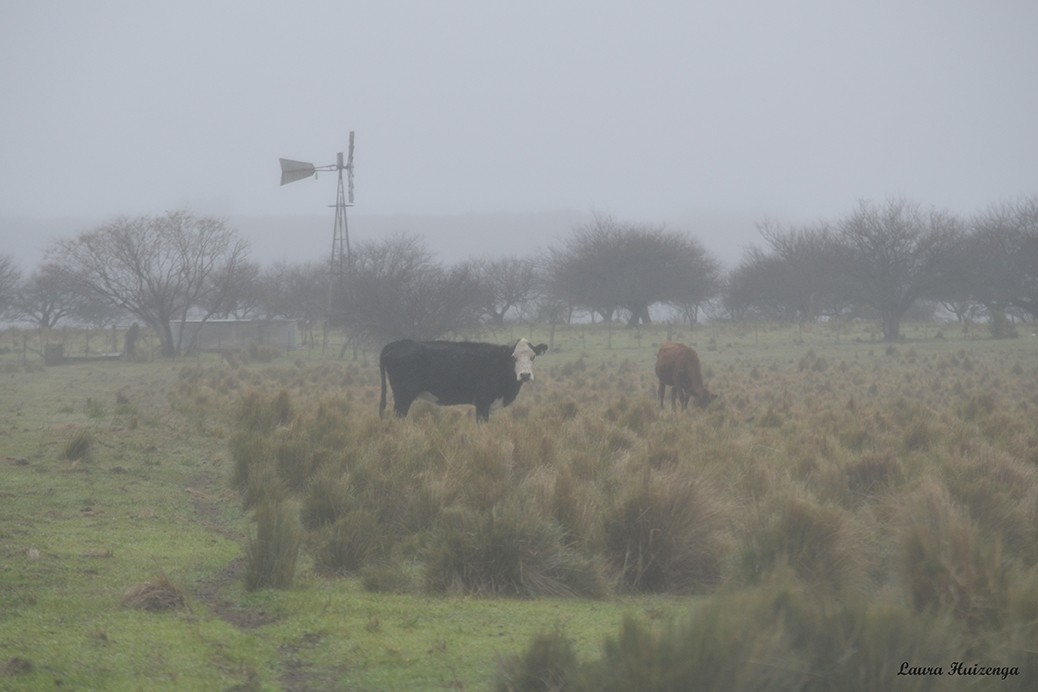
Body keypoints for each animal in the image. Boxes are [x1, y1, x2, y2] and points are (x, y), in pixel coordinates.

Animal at [377, 336, 548, 419]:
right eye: (513, 357)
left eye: (533, 357)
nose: (525, 375)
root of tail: (395, 344)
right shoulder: (482, 403)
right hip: (403, 396)